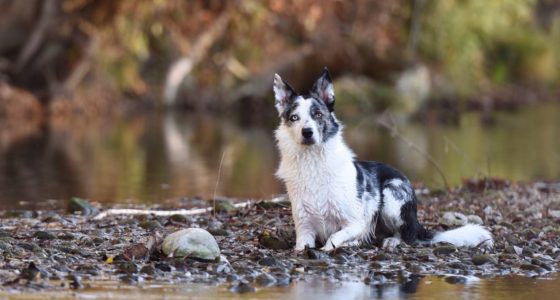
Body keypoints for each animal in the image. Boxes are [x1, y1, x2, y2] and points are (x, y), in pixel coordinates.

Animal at [274, 67, 492, 251]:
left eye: (318, 114)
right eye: (294, 118)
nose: (307, 132)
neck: (312, 162)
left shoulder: (356, 222)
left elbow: (334, 237)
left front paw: (331, 247)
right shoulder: (304, 228)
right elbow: (303, 246)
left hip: (391, 195)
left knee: (406, 235)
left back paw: (391, 241)